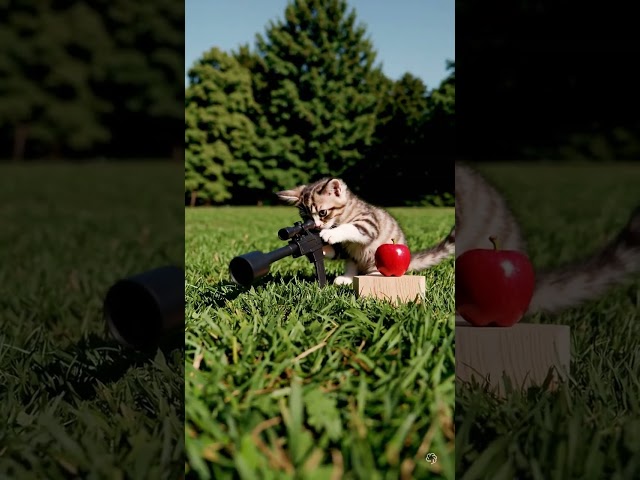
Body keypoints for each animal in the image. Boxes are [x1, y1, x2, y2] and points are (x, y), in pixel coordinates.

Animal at [276, 177, 456, 284]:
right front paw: (323, 248)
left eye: (322, 213)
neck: (343, 215)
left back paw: (374, 275)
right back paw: (347, 278)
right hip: (353, 258)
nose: (316, 226)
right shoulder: (344, 248)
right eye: (305, 217)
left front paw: (331, 233)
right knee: (352, 264)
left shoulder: (368, 224)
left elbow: (352, 227)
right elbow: (334, 252)